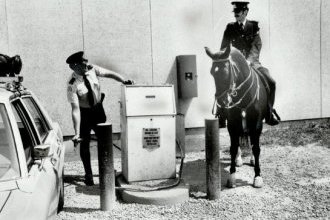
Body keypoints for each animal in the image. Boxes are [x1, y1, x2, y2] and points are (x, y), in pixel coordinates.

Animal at [204, 45, 268, 188]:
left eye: (226, 72)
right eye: (212, 73)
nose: (222, 102)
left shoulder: (257, 125)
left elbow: (256, 148)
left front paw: (258, 176)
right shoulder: (233, 125)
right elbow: (233, 148)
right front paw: (232, 176)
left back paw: (252, 160)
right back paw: (239, 159)